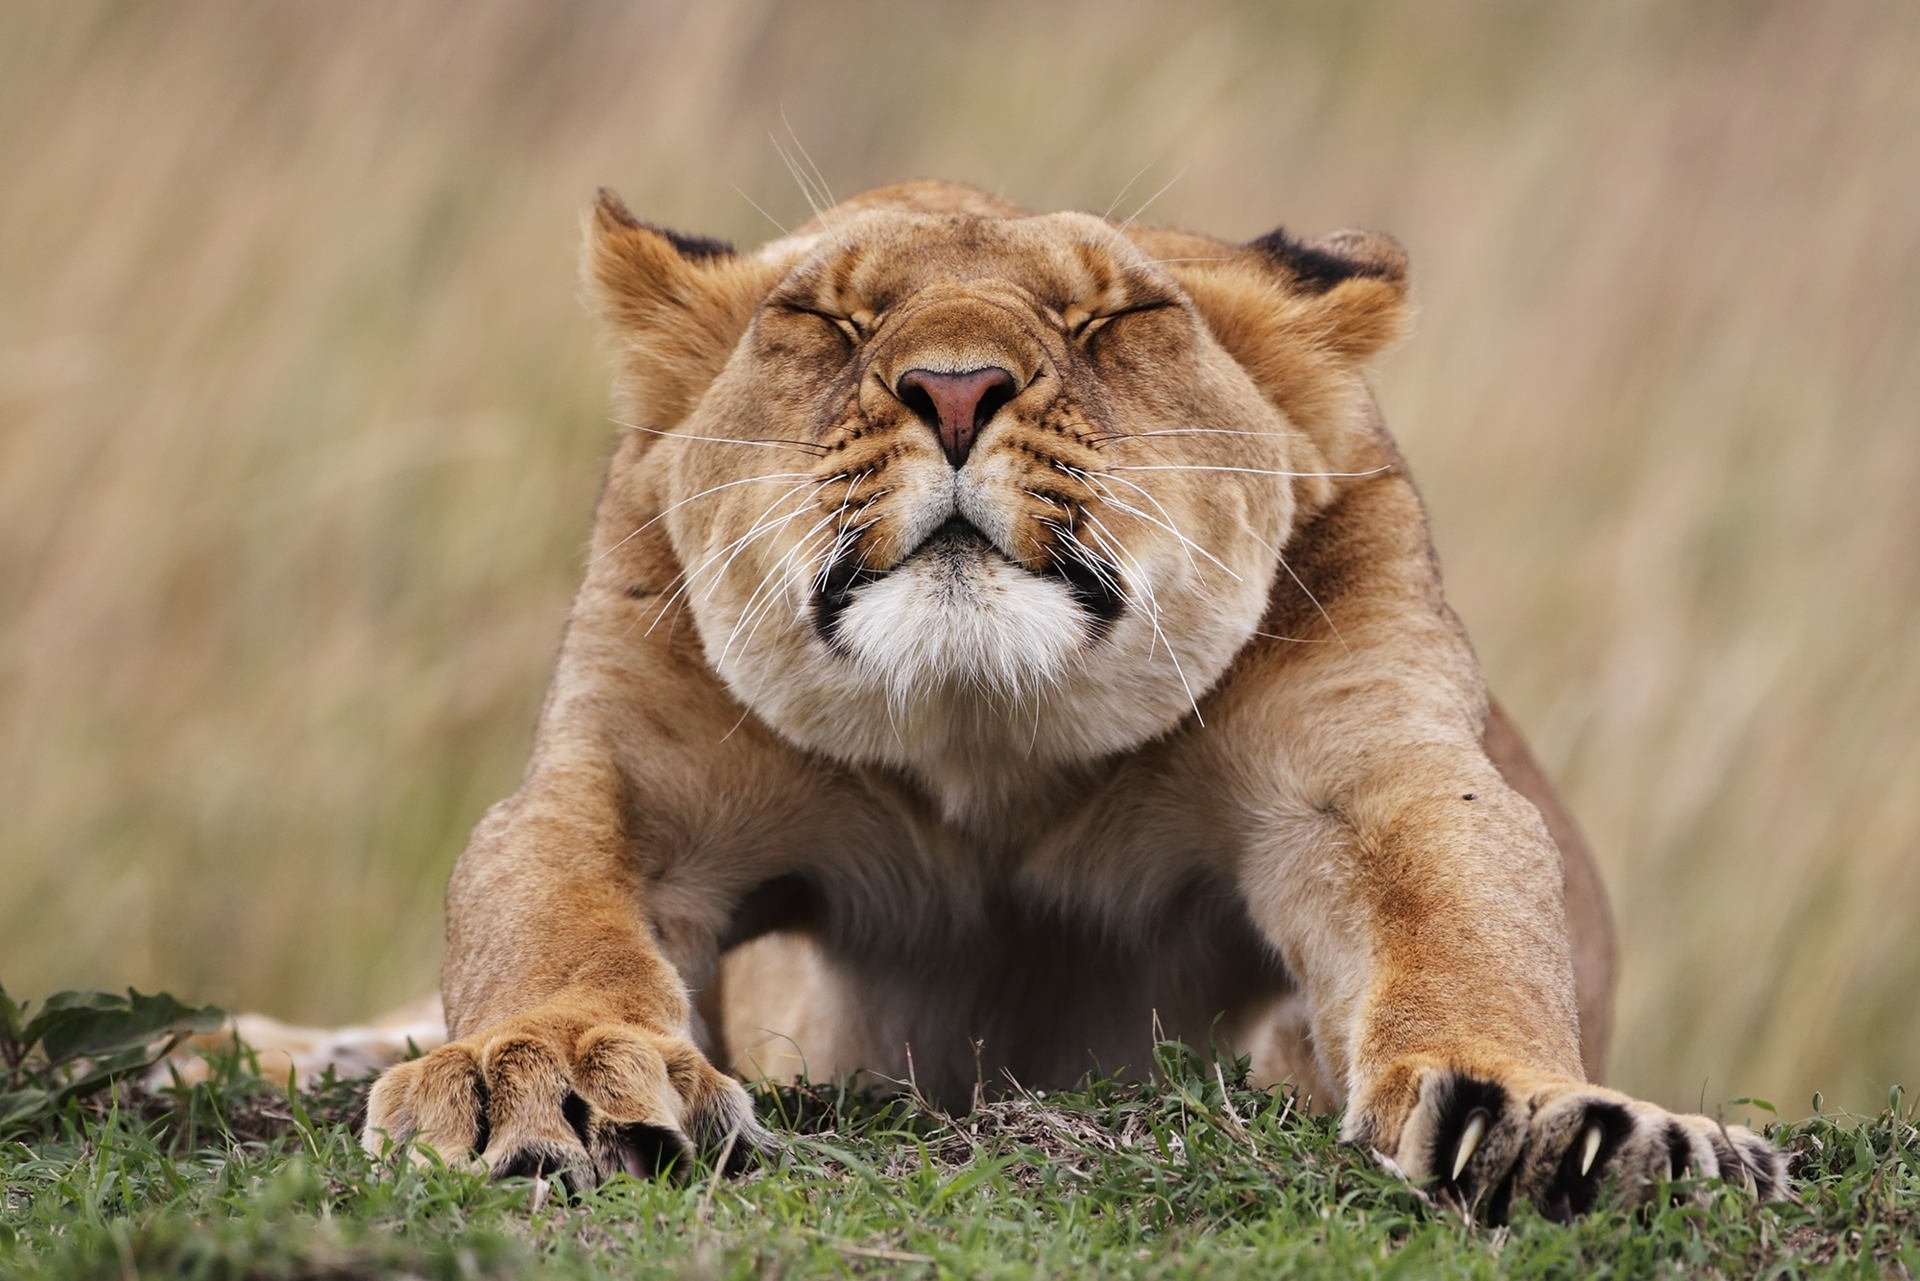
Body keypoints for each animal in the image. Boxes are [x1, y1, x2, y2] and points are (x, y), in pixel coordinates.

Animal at [340, 179, 1785, 1218]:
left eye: (1111, 322)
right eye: (827, 319)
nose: (955, 387)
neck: (995, 750)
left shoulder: (1370, 777)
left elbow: (1465, 925)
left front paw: (1552, 1120)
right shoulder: (626, 780)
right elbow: (544, 903)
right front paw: (545, 1074)